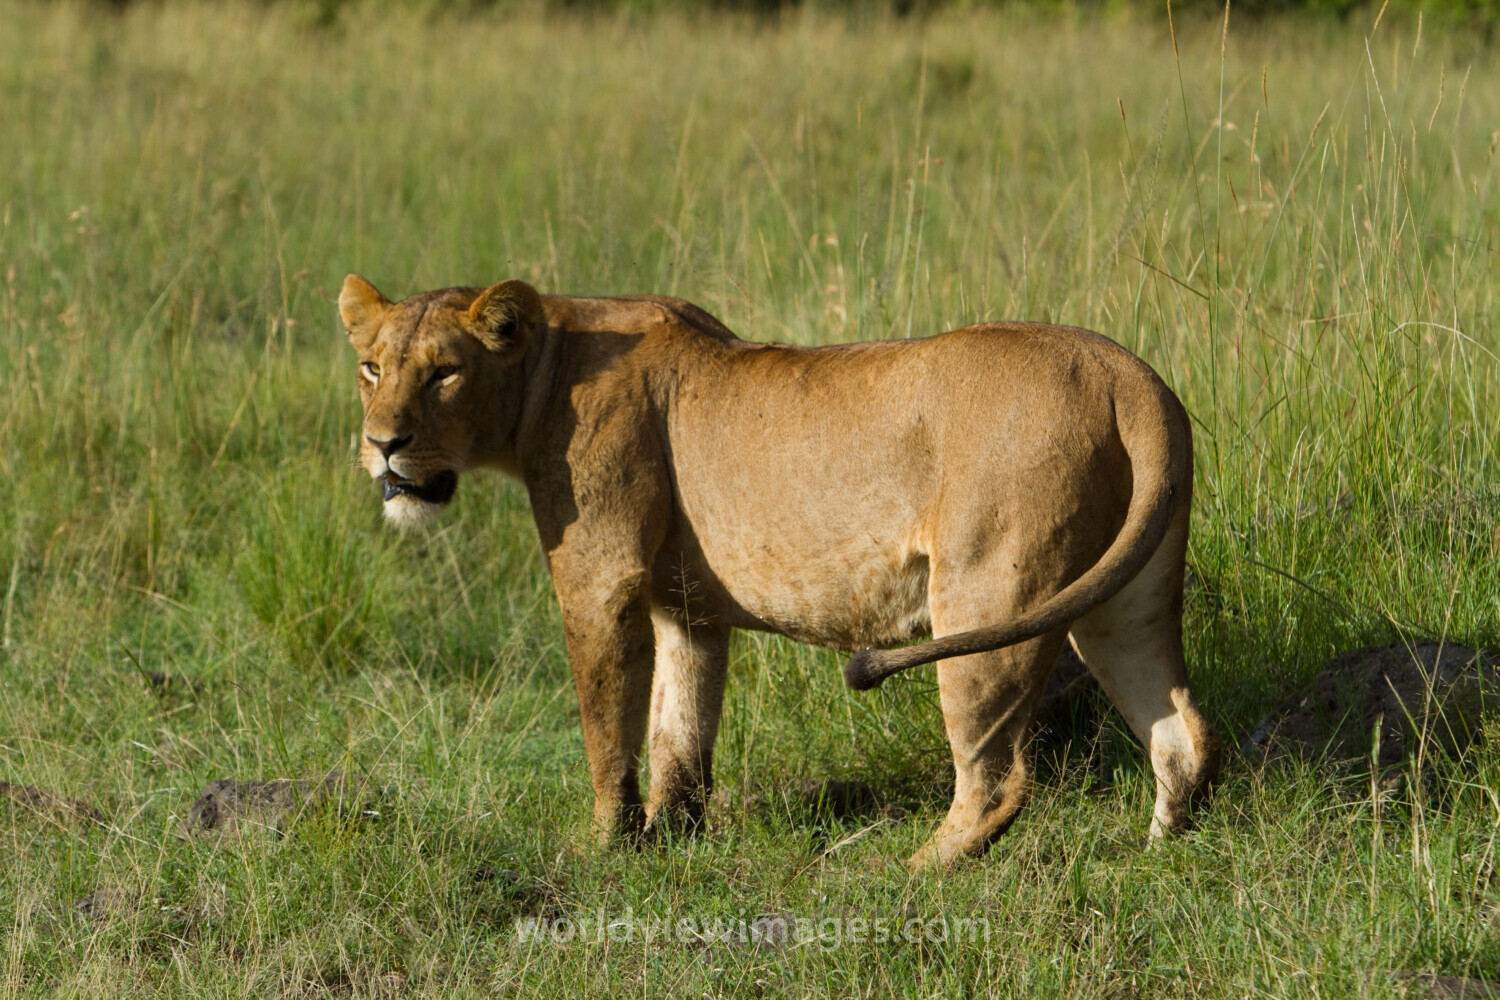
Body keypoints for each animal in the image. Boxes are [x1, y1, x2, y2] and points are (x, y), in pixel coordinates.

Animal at [338, 274, 1220, 866]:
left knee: (999, 777)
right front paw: (675, 840)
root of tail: (1125, 373)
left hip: (987, 595)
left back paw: (909, 874)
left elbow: (607, 725)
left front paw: (605, 848)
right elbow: (680, 730)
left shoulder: (600, 578)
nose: (382, 444)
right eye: (372, 368)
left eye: (444, 371)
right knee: (1181, 728)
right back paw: (1158, 855)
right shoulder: (684, 608)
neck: (543, 366)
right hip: (1126, 599)